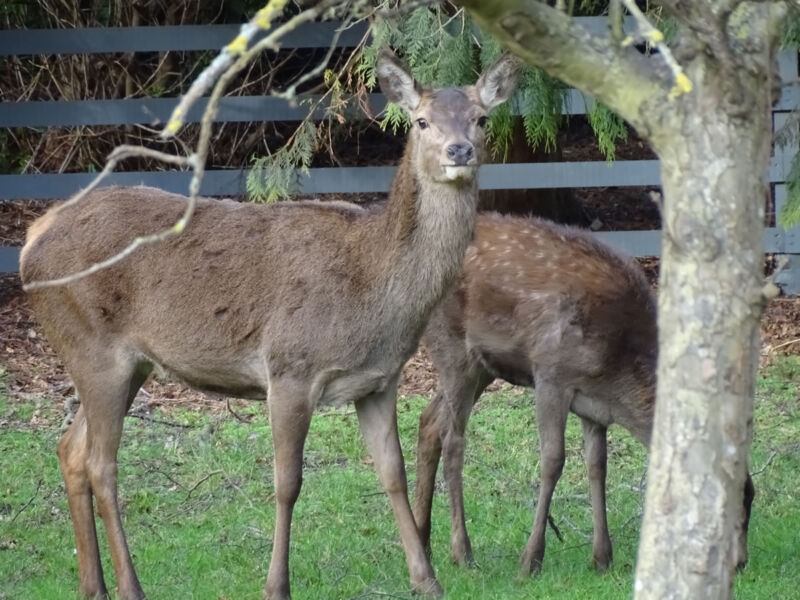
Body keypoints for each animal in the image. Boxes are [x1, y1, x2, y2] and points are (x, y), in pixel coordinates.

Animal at [19, 50, 520, 600]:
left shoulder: (378, 381)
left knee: (70, 450)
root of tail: (32, 237)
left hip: (129, 364)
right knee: (100, 464)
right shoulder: (289, 368)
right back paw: (131, 587)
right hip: (92, 345)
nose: (459, 149)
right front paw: (276, 584)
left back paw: (94, 586)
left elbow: (393, 472)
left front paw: (426, 579)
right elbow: (287, 483)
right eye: (422, 121)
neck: (375, 289)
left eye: (481, 118)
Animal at [412, 213, 755, 577]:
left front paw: (602, 557)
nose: (739, 563)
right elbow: (553, 461)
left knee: (429, 421)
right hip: (452, 346)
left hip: (482, 367)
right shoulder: (550, 374)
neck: (616, 376)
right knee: (453, 439)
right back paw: (461, 552)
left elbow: (597, 466)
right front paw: (531, 560)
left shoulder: (594, 407)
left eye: (751, 497)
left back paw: (423, 542)